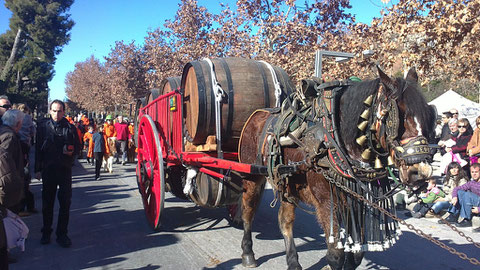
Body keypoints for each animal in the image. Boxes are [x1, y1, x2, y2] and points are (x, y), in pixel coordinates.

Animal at [238, 67, 436, 270]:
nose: (420, 172)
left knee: (285, 220)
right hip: (252, 176)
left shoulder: (357, 202)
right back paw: (248, 253)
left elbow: (356, 255)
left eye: (428, 117)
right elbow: (335, 255)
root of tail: (257, 114)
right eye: (397, 118)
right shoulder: (327, 202)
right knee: (248, 212)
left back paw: (293, 261)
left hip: (286, 183)